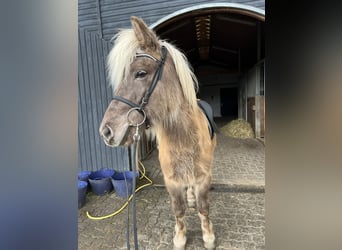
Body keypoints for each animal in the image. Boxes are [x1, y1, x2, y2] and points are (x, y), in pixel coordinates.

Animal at [99, 16, 216, 249]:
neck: (184, 137)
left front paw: (208, 237)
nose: (106, 131)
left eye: (141, 73)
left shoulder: (203, 178)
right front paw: (180, 238)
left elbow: (203, 208)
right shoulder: (171, 180)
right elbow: (178, 209)